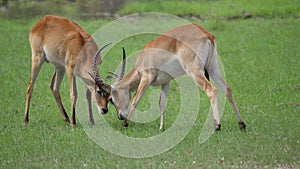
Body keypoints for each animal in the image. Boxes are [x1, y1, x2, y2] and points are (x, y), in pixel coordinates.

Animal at [91, 23, 246, 131]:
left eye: (111, 99)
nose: (120, 116)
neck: (143, 58)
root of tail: (206, 34)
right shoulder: (166, 81)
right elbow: (162, 103)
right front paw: (161, 127)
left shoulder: (146, 77)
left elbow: (136, 99)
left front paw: (125, 124)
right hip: (213, 69)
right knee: (228, 89)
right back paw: (241, 124)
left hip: (194, 71)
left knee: (211, 90)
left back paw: (217, 126)